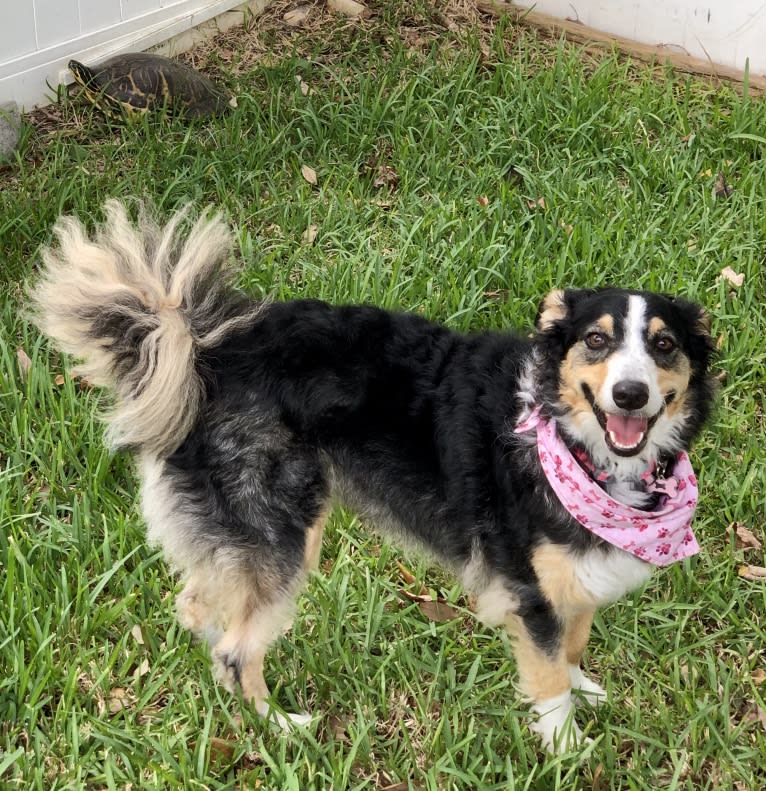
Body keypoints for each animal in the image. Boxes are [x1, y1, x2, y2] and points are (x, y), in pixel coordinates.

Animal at [28, 201, 712, 752]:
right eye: (596, 340)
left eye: (664, 345)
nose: (630, 395)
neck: (564, 437)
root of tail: (204, 354)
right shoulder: (530, 591)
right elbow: (547, 678)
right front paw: (567, 745)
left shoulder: (578, 581)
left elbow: (573, 645)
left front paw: (585, 690)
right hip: (282, 535)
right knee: (236, 650)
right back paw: (281, 727)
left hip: (241, 537)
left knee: (199, 606)